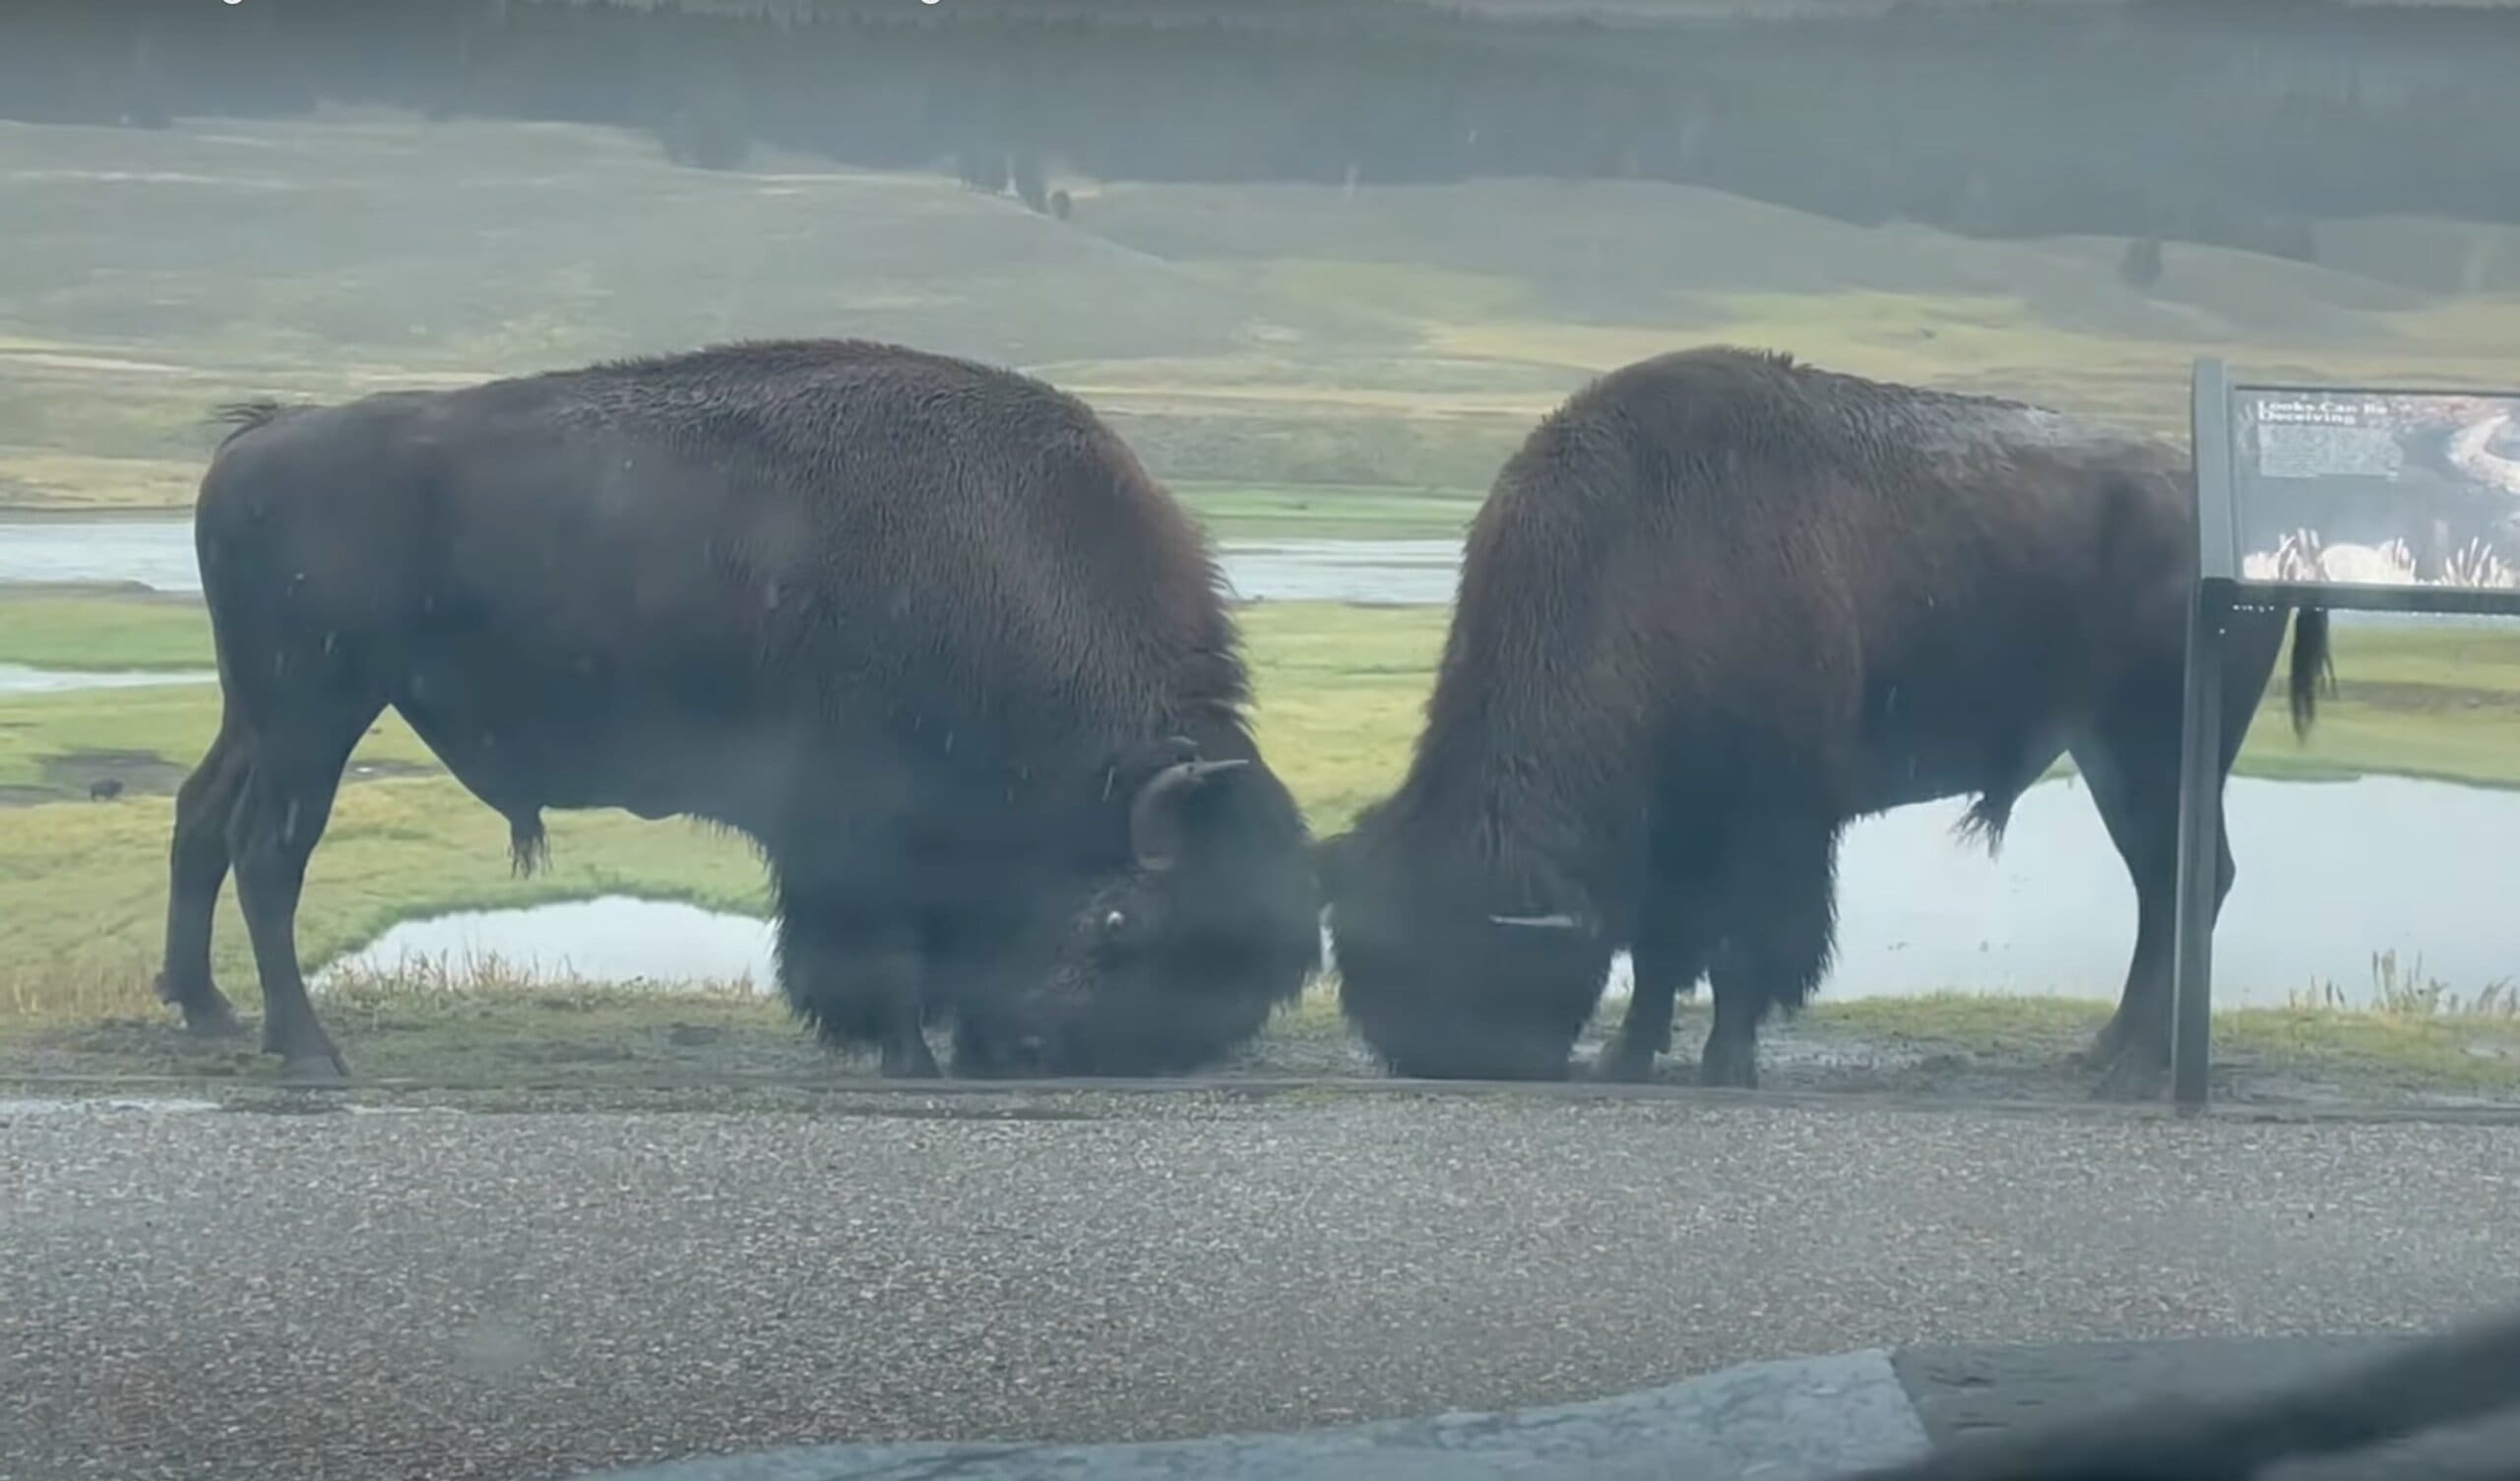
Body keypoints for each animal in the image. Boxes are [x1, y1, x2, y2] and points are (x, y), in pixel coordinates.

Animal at [155, 337, 1320, 1078]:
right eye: (1123, 923)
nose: (1043, 1053)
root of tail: (261, 437)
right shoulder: (857, 832)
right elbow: (876, 941)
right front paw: (905, 1055)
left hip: (258, 713)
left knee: (200, 816)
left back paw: (207, 1012)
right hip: (316, 711)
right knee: (268, 853)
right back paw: (308, 1052)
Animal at [1330, 344, 2328, 1087]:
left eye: (1473, 963)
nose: (1435, 1059)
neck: (1638, 555)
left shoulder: (1773, 823)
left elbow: (1745, 949)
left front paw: (1725, 1066)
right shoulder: (1675, 834)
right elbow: (1661, 952)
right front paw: (1626, 1057)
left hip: (2156, 757)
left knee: (2183, 885)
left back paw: (2131, 1067)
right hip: (2114, 763)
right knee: (2166, 890)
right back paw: (2107, 1052)